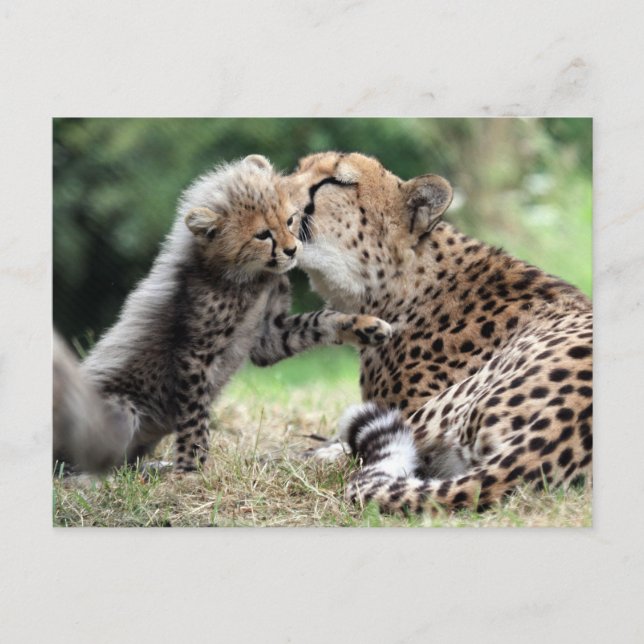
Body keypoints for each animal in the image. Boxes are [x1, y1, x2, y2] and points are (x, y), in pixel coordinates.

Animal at [54, 154, 392, 474]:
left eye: (290, 220)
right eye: (262, 234)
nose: (292, 250)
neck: (247, 277)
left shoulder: (269, 338)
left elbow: (319, 320)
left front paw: (365, 326)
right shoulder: (194, 354)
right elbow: (194, 413)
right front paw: (191, 466)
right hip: (116, 408)